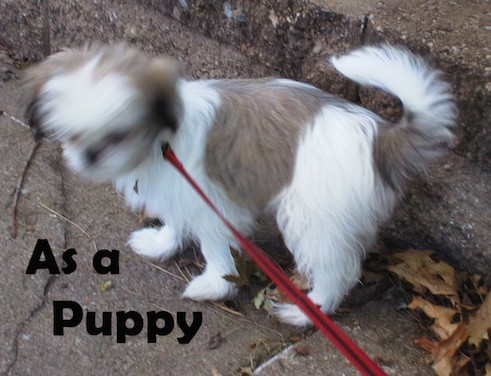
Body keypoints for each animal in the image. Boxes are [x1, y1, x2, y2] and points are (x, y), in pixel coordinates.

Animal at [23, 43, 458, 326]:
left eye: (118, 135)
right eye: (73, 134)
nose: (90, 155)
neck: (162, 137)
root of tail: (380, 137)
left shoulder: (211, 203)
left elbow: (215, 247)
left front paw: (214, 285)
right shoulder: (181, 191)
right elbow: (177, 221)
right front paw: (162, 243)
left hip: (315, 220)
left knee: (336, 269)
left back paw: (309, 310)